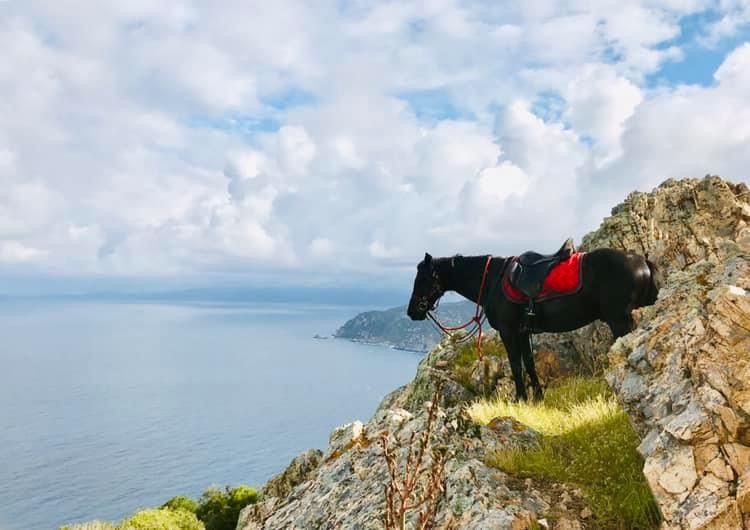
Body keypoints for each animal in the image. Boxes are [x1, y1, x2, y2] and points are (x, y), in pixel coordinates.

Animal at [406, 244, 659, 401]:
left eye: (423, 278)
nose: (412, 311)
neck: (492, 280)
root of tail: (642, 261)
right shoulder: (523, 332)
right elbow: (529, 364)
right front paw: (537, 397)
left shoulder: (509, 331)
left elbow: (516, 365)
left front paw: (520, 399)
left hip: (620, 322)